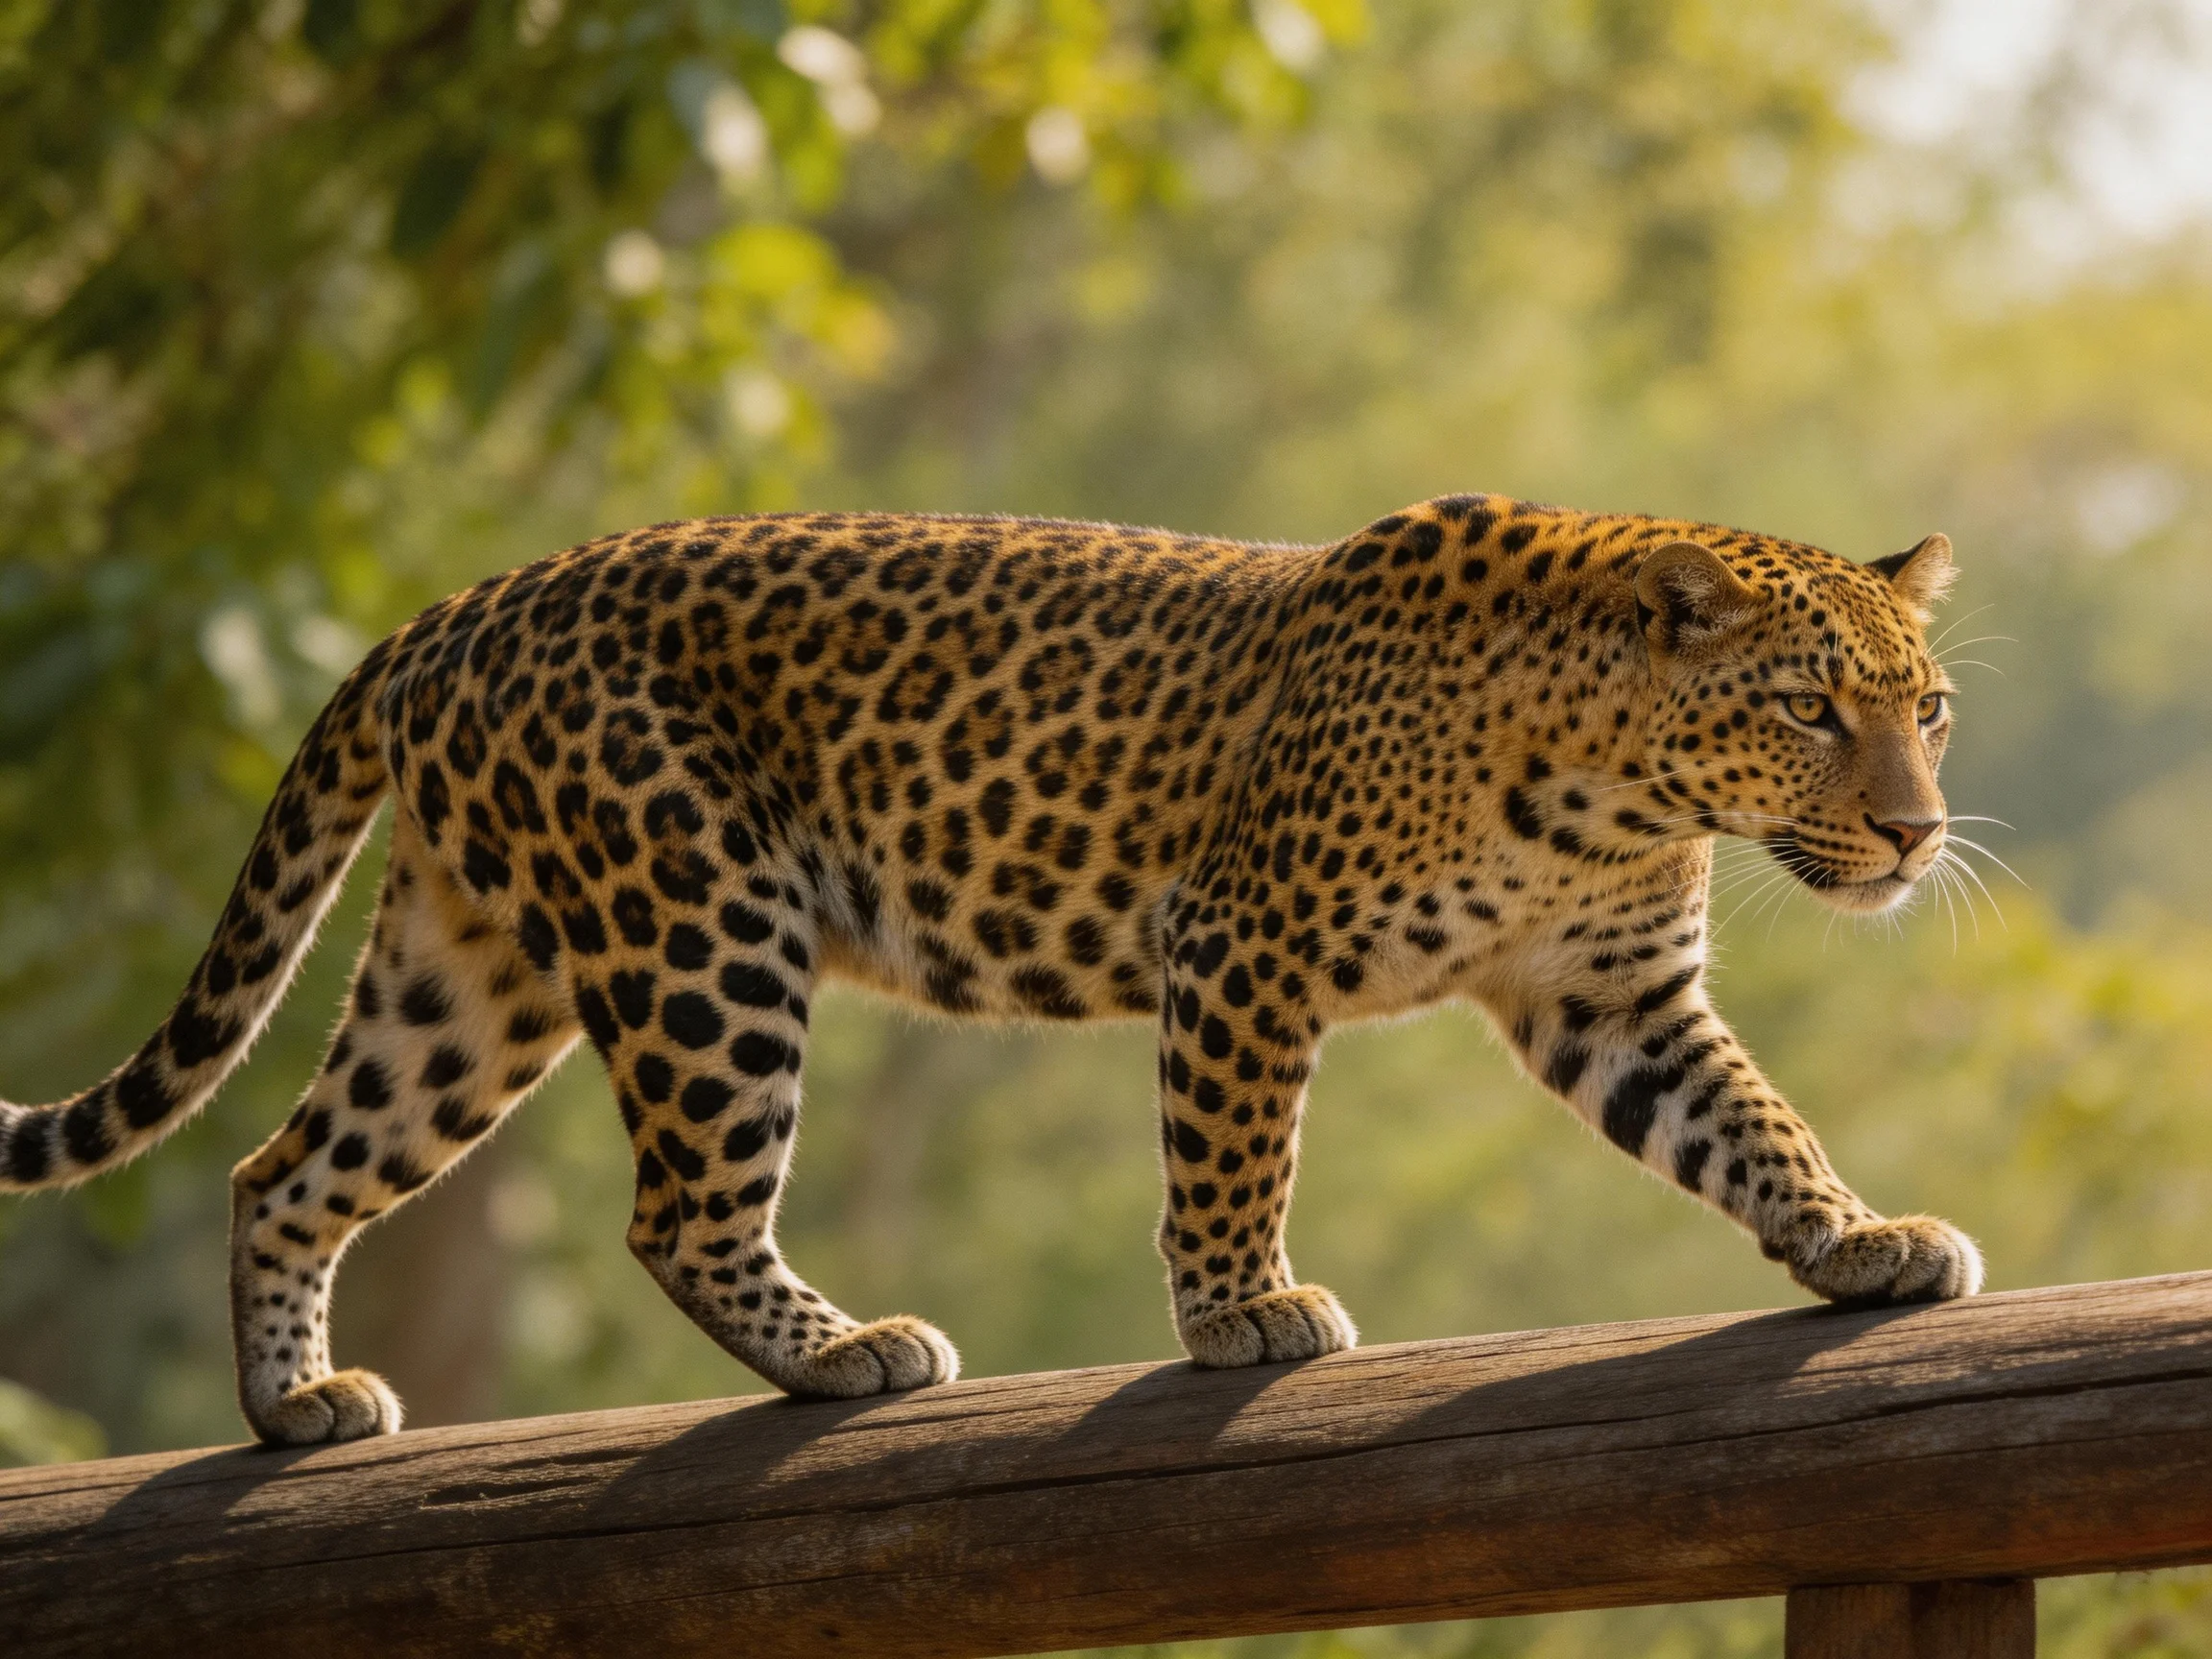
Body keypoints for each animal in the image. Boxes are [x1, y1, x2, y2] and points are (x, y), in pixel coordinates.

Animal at [0, 494, 1983, 1446]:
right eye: (1807, 710)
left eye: (1928, 709)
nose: (1910, 833)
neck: (1610, 788)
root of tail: (444, 611)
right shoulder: (1239, 942)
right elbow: (1229, 1152)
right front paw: (1240, 1313)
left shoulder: (1610, 995)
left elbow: (1752, 1126)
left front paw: (1857, 1239)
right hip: (699, 923)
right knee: (675, 1207)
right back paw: (845, 1354)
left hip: (468, 970)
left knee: (283, 1166)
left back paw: (291, 1407)